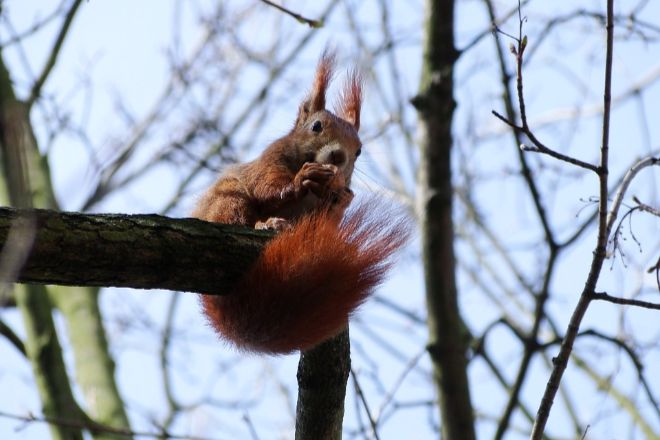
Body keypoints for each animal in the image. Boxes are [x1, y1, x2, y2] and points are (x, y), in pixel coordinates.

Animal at [192, 51, 408, 354]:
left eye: (359, 150)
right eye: (316, 126)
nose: (339, 156)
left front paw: (340, 199)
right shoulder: (269, 161)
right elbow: (266, 186)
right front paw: (299, 180)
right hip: (228, 200)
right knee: (235, 217)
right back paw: (267, 223)